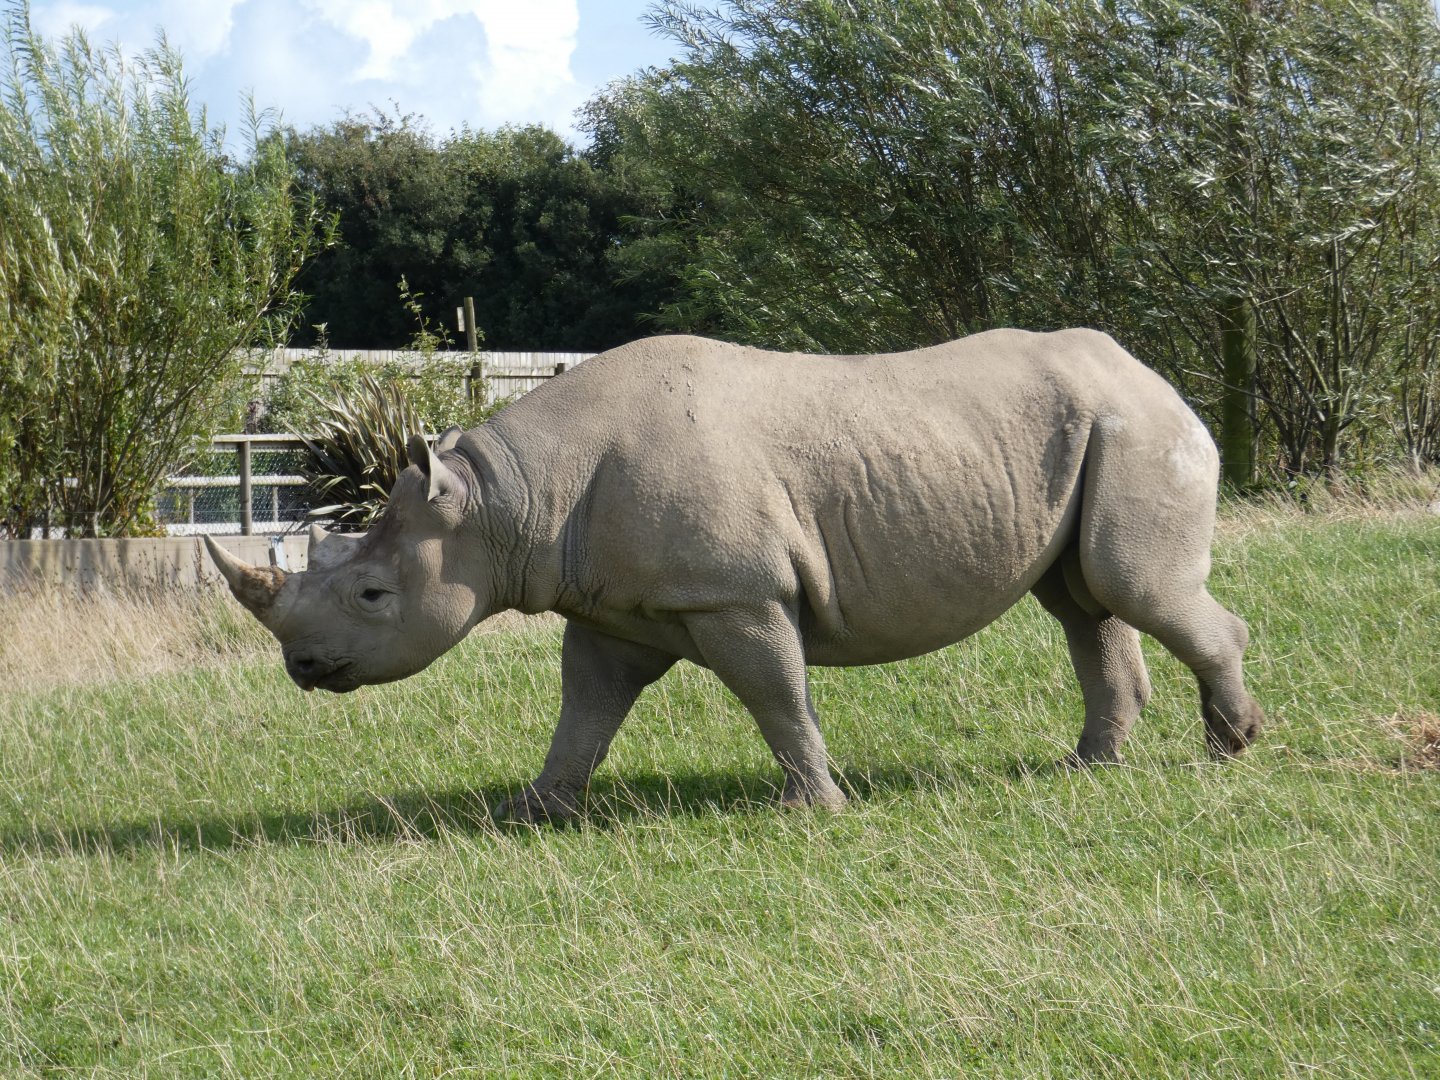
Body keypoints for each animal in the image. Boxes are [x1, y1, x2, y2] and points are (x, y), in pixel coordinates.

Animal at [206, 330, 1264, 823]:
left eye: (372, 596)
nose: (303, 668)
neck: (507, 503)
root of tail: (1157, 373)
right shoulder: (615, 605)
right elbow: (584, 707)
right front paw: (535, 811)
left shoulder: (735, 591)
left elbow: (775, 694)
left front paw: (815, 809)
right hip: (1088, 432)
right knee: (1083, 602)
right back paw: (1090, 766)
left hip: (1137, 432)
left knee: (1128, 587)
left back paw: (1232, 748)